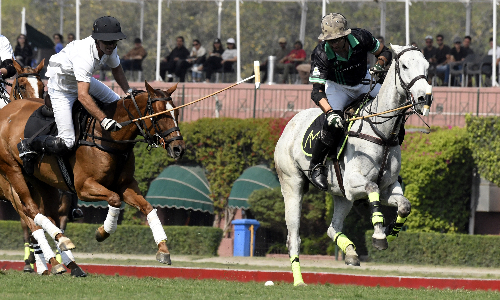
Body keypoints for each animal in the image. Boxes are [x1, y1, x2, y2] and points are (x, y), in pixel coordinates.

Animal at [0, 80, 185, 264]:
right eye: (160, 115)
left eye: (176, 112)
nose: (178, 149)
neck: (109, 138)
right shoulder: (84, 187)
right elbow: (115, 198)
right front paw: (103, 232)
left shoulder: (125, 184)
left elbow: (147, 207)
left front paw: (163, 249)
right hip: (13, 172)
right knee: (30, 209)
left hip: (42, 181)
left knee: (47, 214)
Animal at [276, 45, 432, 286]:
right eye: (405, 66)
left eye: (427, 66)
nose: (426, 97)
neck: (382, 133)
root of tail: (290, 124)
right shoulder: (354, 184)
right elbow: (371, 187)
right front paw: (379, 235)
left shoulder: (386, 187)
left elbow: (404, 205)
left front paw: (391, 230)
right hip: (293, 186)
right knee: (294, 238)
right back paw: (299, 280)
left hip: (342, 197)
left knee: (332, 228)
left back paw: (350, 252)